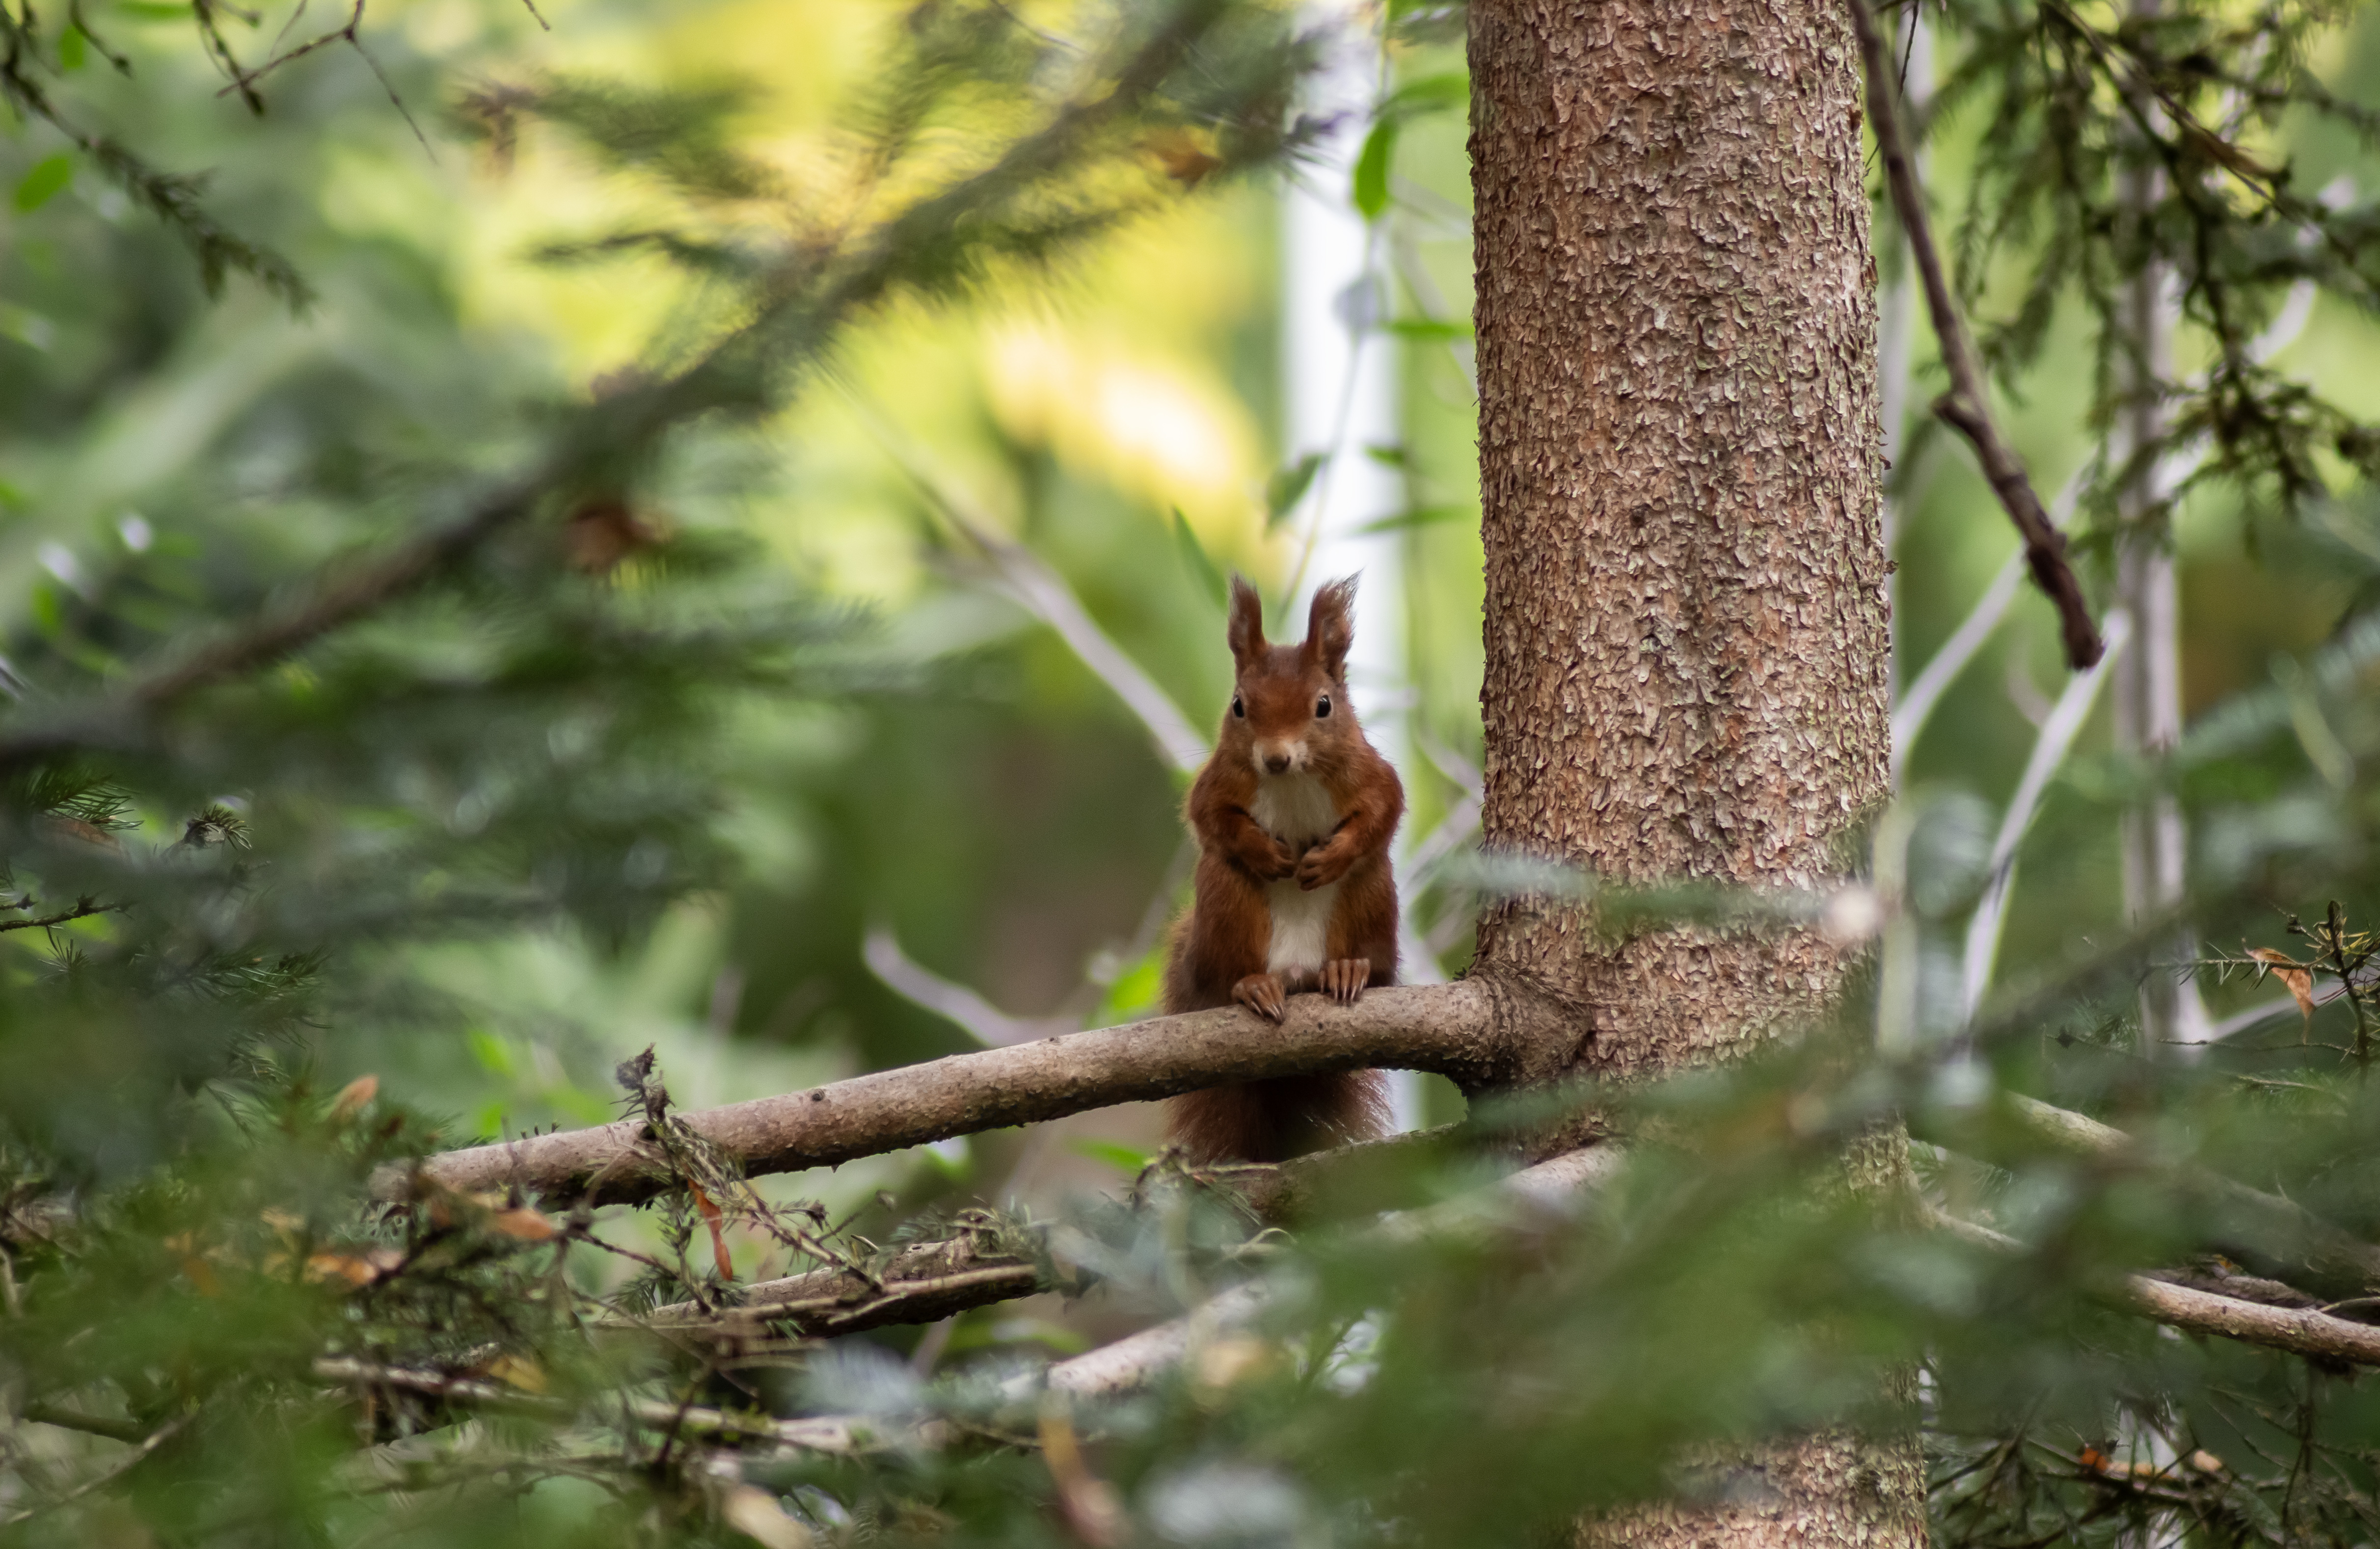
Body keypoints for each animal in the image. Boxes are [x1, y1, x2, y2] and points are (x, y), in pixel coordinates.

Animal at [1161, 575, 1403, 1163]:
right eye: (1238, 706)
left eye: (1324, 706)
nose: (1275, 759)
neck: (1292, 780)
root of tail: (1295, 972)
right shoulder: (1220, 781)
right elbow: (1208, 817)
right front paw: (1266, 852)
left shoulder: (1370, 772)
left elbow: (1384, 811)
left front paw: (1331, 855)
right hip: (1225, 905)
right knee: (1228, 971)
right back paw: (1252, 987)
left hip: (1372, 895)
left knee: (1377, 957)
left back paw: (1350, 970)